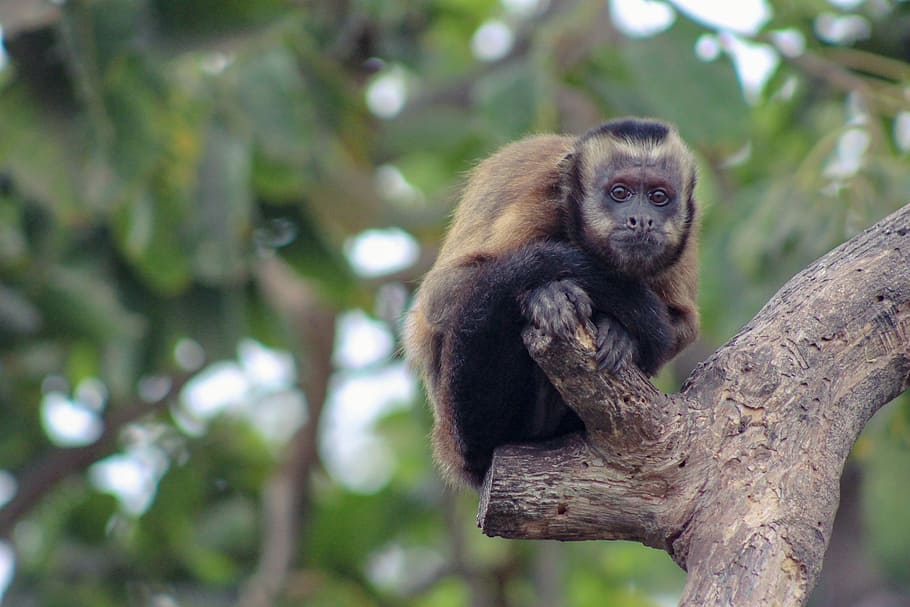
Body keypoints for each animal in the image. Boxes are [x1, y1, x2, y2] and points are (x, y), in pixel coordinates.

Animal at [404, 117, 700, 490]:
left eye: (659, 197)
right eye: (620, 193)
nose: (642, 219)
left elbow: (683, 325)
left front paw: (621, 335)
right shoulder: (540, 203)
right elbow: (439, 296)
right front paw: (543, 297)